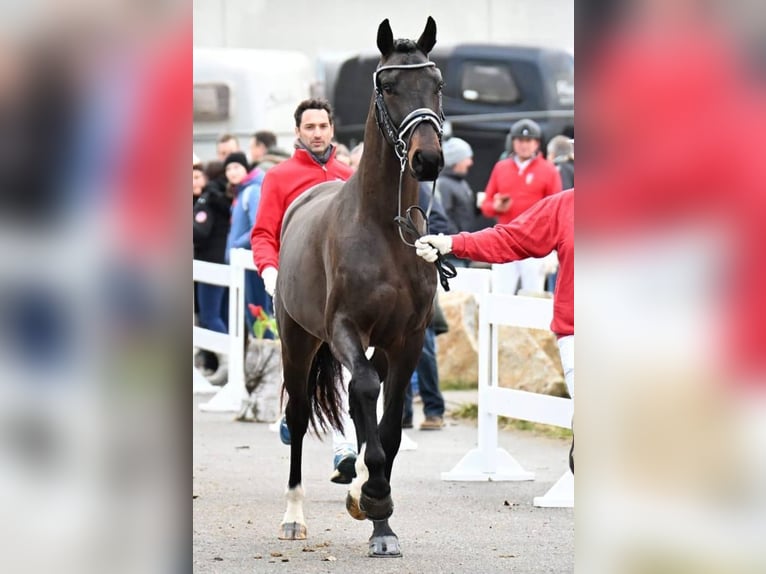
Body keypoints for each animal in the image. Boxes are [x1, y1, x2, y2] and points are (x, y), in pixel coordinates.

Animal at [274, 16, 444, 560]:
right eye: (388, 86)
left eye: (436, 84)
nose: (429, 159)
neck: (384, 230)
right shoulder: (345, 328)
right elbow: (366, 390)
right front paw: (373, 495)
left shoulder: (405, 340)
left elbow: (388, 426)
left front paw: (378, 517)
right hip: (298, 339)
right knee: (300, 415)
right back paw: (293, 516)